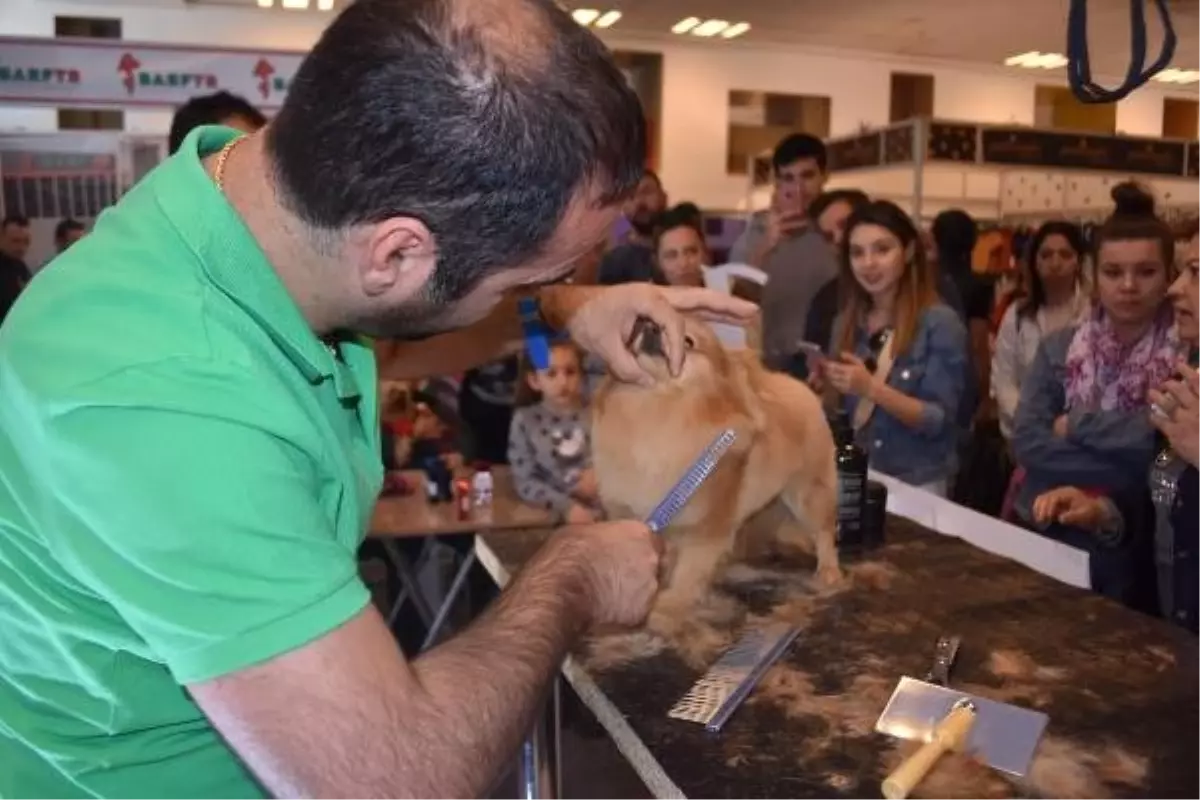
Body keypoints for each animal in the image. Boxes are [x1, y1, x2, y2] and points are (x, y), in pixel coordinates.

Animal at [592, 316, 844, 628]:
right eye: (643, 323)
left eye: (688, 341)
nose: (650, 325)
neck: (657, 408)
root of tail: (801, 388)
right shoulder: (632, 514)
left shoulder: (706, 527)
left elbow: (689, 572)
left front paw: (671, 603)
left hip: (808, 494)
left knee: (824, 532)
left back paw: (829, 571)